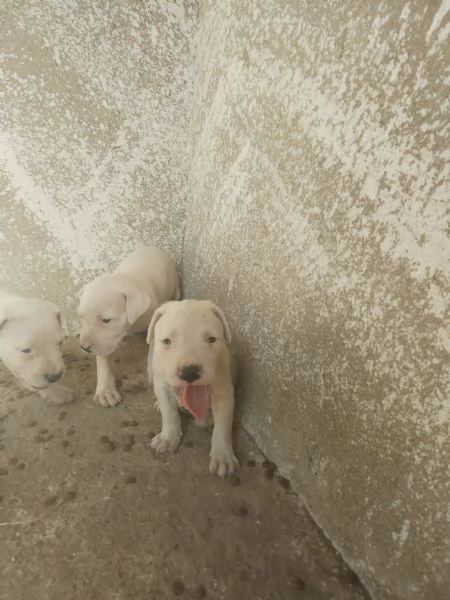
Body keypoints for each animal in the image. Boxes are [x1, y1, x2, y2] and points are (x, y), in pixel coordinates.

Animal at [79, 245, 179, 408]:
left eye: (107, 320)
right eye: (81, 317)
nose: (84, 347)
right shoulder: (104, 341)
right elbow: (102, 356)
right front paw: (106, 390)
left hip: (174, 288)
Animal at [147, 300, 239, 478]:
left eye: (211, 339)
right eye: (166, 341)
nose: (189, 372)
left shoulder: (223, 393)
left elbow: (223, 426)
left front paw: (222, 456)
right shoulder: (162, 385)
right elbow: (169, 413)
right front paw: (168, 437)